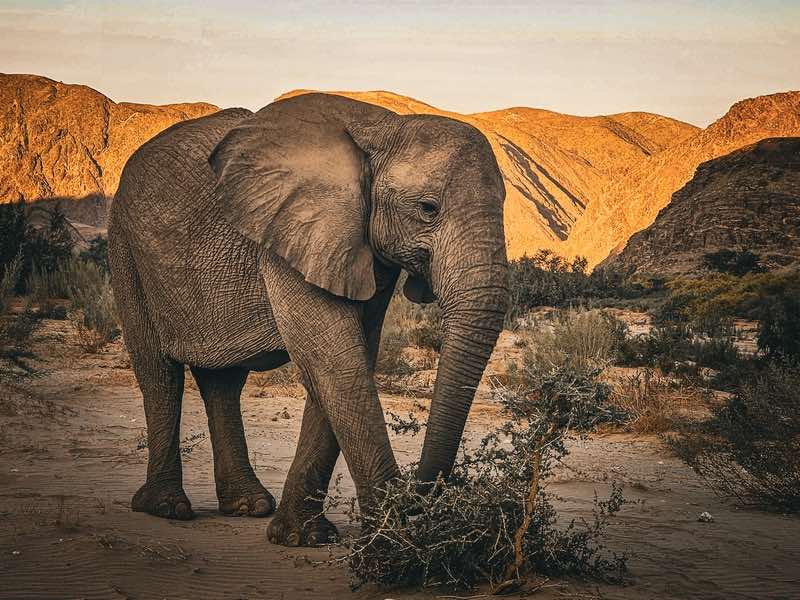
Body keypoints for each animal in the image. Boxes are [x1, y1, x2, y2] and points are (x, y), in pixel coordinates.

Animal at [108, 92, 508, 547]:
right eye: (428, 209)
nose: (420, 502)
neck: (386, 128)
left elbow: (350, 356)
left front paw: (305, 537)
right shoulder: (293, 231)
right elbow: (334, 358)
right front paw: (390, 542)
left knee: (223, 381)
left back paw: (247, 506)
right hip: (126, 248)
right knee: (159, 374)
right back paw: (166, 508)